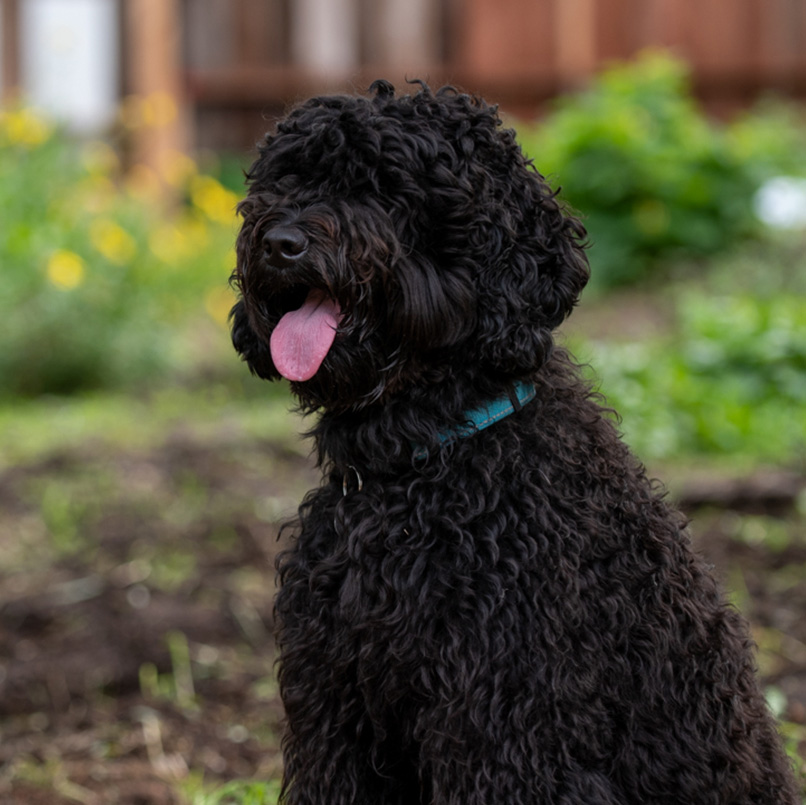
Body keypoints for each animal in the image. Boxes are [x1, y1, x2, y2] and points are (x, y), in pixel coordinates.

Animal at [230, 81, 800, 804]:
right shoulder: (337, 712)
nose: (281, 242)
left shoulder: (509, 724)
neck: (418, 472)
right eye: (288, 180)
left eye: (385, 188)